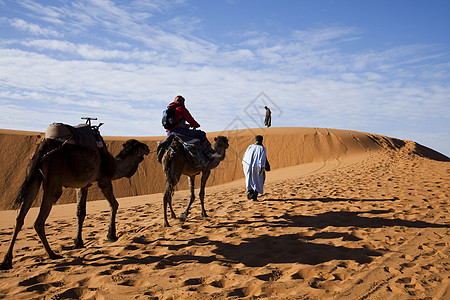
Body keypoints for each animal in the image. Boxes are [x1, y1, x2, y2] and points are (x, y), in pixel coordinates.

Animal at [0, 137, 150, 268]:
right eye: (139, 145)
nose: (148, 147)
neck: (113, 165)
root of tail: (41, 149)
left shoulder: (83, 185)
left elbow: (80, 212)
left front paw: (78, 242)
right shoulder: (104, 179)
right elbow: (114, 204)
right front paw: (111, 235)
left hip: (34, 178)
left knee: (19, 219)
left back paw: (7, 260)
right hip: (53, 184)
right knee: (38, 221)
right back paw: (52, 254)